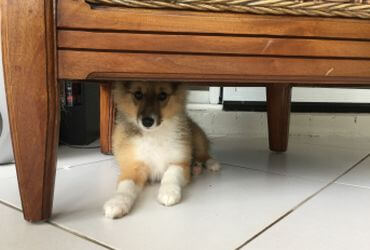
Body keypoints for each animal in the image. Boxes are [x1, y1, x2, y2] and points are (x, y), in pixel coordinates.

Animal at [102, 82, 221, 219]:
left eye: (162, 95)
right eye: (138, 94)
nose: (147, 122)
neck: (154, 134)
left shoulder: (179, 161)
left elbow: (170, 174)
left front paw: (168, 192)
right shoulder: (132, 166)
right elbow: (126, 185)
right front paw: (117, 202)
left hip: (197, 137)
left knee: (203, 154)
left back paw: (211, 163)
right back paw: (196, 167)